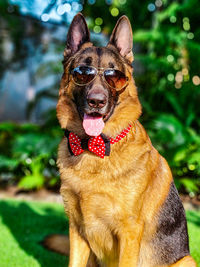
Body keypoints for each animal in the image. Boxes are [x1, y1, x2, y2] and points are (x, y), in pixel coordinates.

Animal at [44, 13, 196, 267]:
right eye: (82, 73)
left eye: (113, 76)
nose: (97, 101)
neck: (94, 148)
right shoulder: (76, 229)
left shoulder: (129, 232)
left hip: (186, 260)